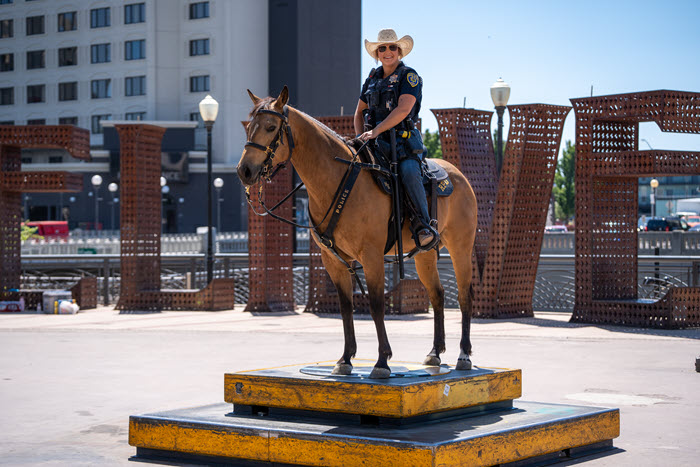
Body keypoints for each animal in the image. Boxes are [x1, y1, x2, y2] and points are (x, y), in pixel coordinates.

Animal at [237, 87, 477, 379]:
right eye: (249, 127)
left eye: (271, 127)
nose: (244, 170)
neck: (338, 179)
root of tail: (458, 175)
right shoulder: (334, 259)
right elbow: (346, 307)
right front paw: (345, 359)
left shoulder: (371, 256)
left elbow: (375, 305)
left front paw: (382, 361)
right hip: (425, 254)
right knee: (438, 294)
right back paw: (434, 352)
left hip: (460, 248)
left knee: (464, 294)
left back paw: (464, 354)